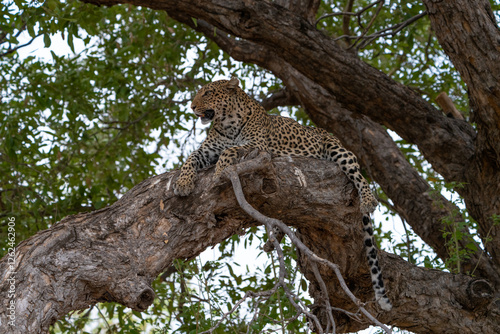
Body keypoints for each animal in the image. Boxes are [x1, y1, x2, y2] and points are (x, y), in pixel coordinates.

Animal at [174, 77, 392, 312]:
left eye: (208, 93)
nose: (192, 107)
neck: (227, 123)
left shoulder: (257, 146)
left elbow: (229, 150)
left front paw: (220, 170)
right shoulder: (206, 150)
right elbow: (189, 159)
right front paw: (182, 183)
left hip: (340, 151)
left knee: (358, 175)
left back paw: (368, 200)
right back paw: (274, 238)